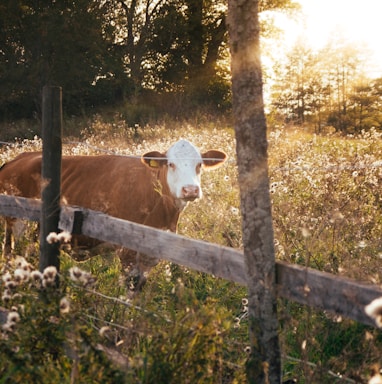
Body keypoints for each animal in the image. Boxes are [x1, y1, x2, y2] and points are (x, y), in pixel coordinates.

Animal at [0, 140, 227, 286]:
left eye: (199, 164)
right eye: (171, 164)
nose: (190, 190)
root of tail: (19, 158)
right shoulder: (127, 251)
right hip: (17, 223)